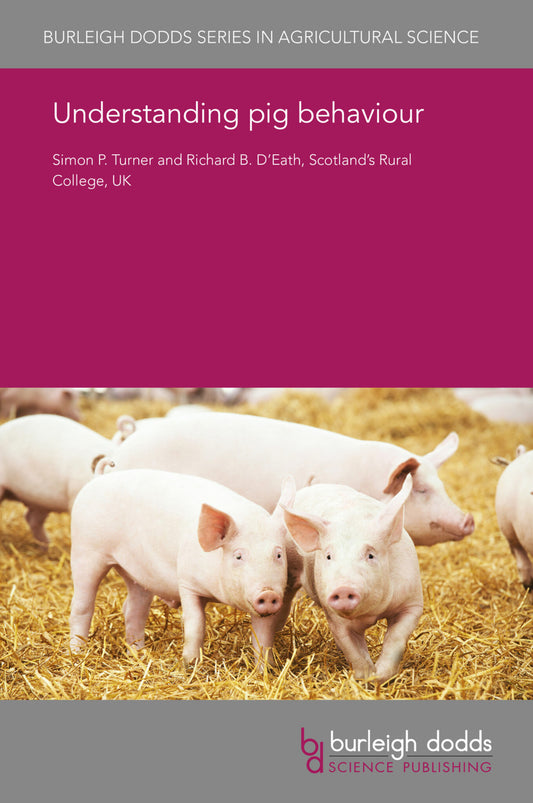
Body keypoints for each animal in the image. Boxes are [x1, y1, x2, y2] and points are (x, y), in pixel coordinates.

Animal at [69, 469, 294, 666]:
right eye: (238, 555)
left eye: (278, 554)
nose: (267, 594)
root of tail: (97, 479)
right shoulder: (187, 582)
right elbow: (195, 624)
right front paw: (189, 664)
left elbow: (263, 637)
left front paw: (266, 670)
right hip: (86, 551)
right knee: (82, 606)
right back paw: (77, 652)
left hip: (139, 575)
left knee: (134, 610)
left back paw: (139, 653)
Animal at [281, 475, 422, 681]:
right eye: (329, 556)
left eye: (371, 555)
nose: (343, 589)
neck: (372, 614)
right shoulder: (335, 618)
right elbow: (354, 651)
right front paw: (367, 677)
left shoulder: (412, 603)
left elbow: (396, 639)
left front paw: (380, 675)